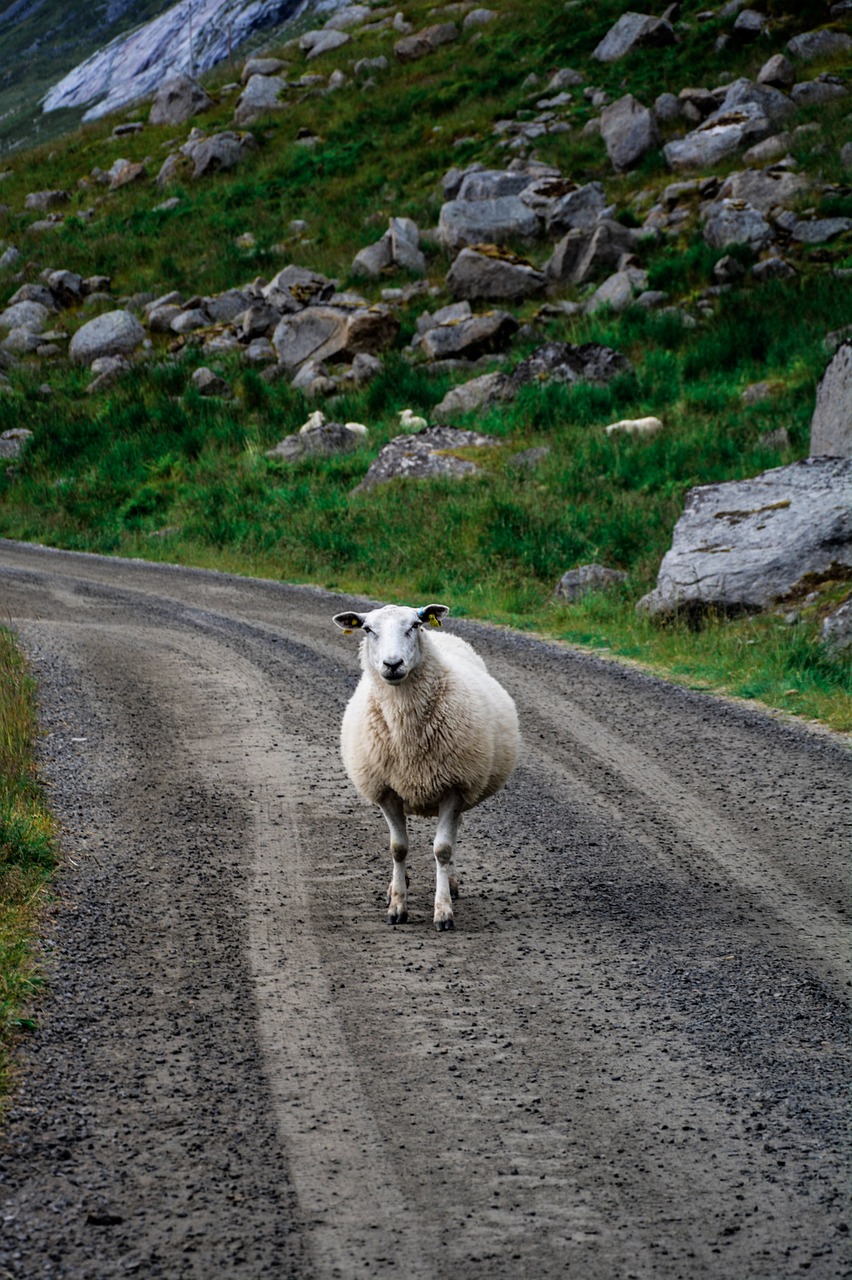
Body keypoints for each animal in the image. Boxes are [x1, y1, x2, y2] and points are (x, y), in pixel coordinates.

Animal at [332, 599, 516, 931]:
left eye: (414, 626)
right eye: (367, 629)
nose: (392, 664)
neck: (407, 731)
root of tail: (443, 635)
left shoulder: (455, 787)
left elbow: (442, 849)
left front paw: (443, 911)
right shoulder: (387, 791)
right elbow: (398, 848)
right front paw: (397, 906)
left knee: (452, 836)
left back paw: (451, 884)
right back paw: (396, 885)